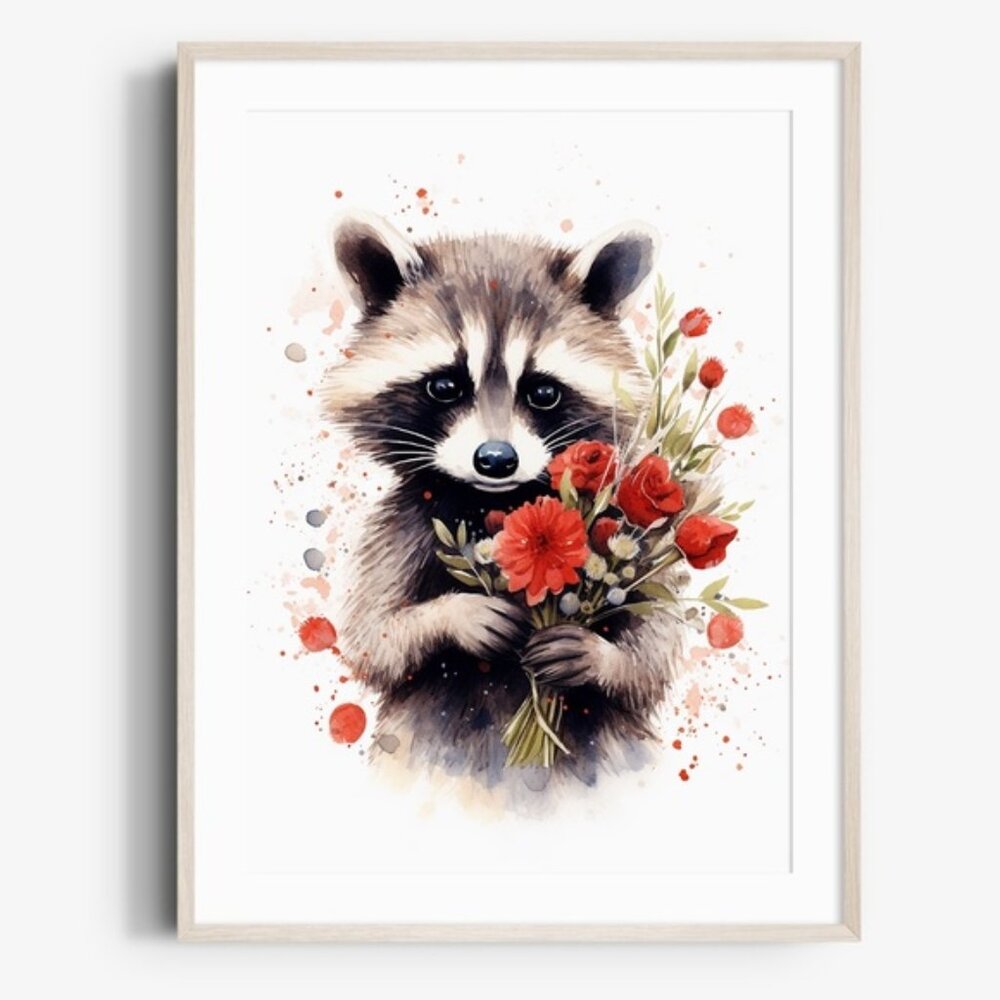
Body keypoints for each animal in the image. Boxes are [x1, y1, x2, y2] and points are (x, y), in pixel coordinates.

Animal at [322, 212, 686, 788]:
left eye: (543, 392)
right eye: (444, 385)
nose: (496, 459)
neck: (494, 503)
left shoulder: (627, 531)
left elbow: (655, 644)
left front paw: (601, 656)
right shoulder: (403, 525)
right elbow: (372, 637)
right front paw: (457, 616)